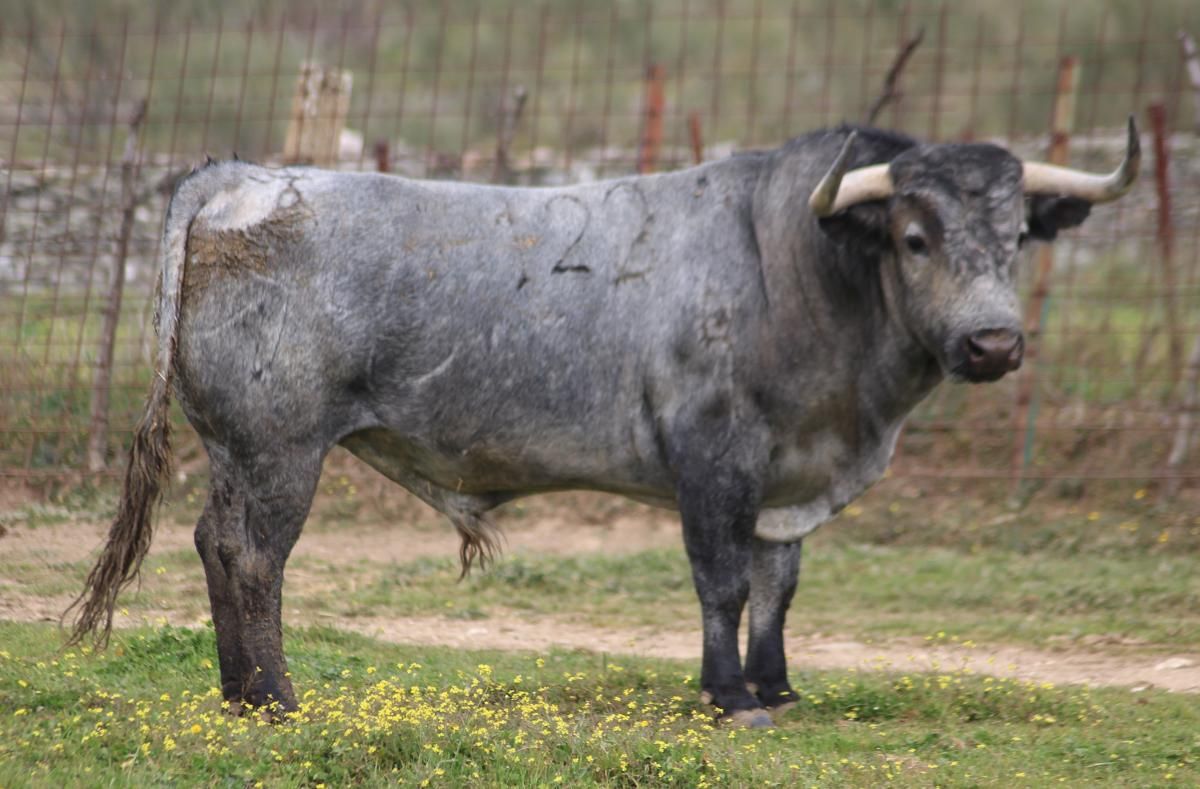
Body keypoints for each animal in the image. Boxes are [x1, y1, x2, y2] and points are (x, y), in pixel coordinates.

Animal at [70, 118, 1137, 724]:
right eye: (915, 237)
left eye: (1017, 237)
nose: (994, 343)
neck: (796, 266)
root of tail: (244, 175)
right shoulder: (715, 458)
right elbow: (721, 582)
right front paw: (730, 698)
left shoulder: (784, 477)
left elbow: (778, 585)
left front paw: (778, 686)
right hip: (278, 445)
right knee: (252, 556)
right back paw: (277, 703)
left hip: (236, 448)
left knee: (214, 544)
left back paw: (237, 698)